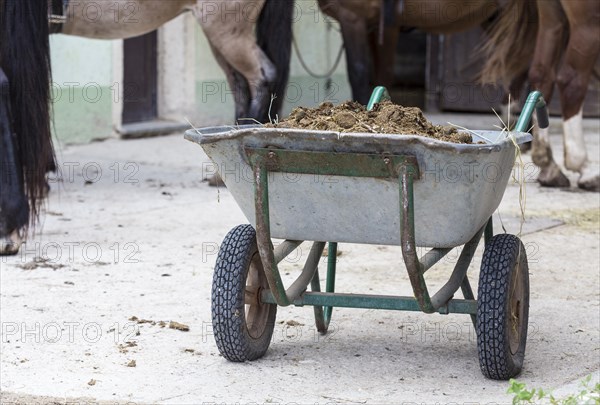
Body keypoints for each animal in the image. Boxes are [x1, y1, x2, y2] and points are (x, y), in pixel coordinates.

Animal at [480, 0, 596, 191]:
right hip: (586, 19)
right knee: (571, 79)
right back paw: (582, 166)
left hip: (551, 17)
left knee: (541, 73)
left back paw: (549, 166)